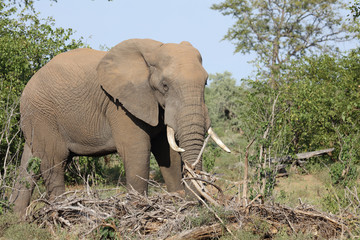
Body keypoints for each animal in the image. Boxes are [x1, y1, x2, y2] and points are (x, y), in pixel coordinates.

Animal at [11, 38, 231, 216]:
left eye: (205, 82)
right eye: (165, 86)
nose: (197, 201)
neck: (153, 52)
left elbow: (168, 153)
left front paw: (179, 201)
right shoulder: (121, 104)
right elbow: (137, 150)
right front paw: (139, 208)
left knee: (29, 164)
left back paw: (17, 220)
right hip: (42, 114)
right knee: (54, 161)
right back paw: (62, 211)